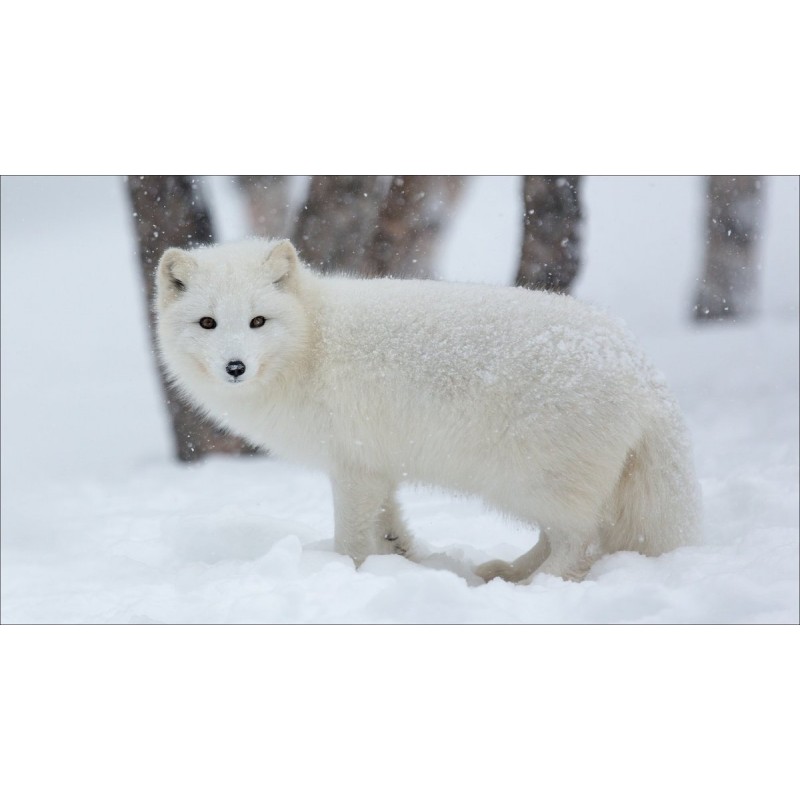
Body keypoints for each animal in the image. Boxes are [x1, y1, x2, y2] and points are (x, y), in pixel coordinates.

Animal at [155, 238, 701, 583]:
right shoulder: (377, 467)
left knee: (579, 544)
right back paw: (507, 572)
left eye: (257, 321)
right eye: (207, 323)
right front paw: (401, 561)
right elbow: (388, 526)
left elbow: (351, 539)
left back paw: (534, 586)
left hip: (532, 481)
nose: (235, 367)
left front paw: (349, 574)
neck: (313, 340)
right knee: (561, 539)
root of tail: (641, 370)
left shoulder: (352, 467)